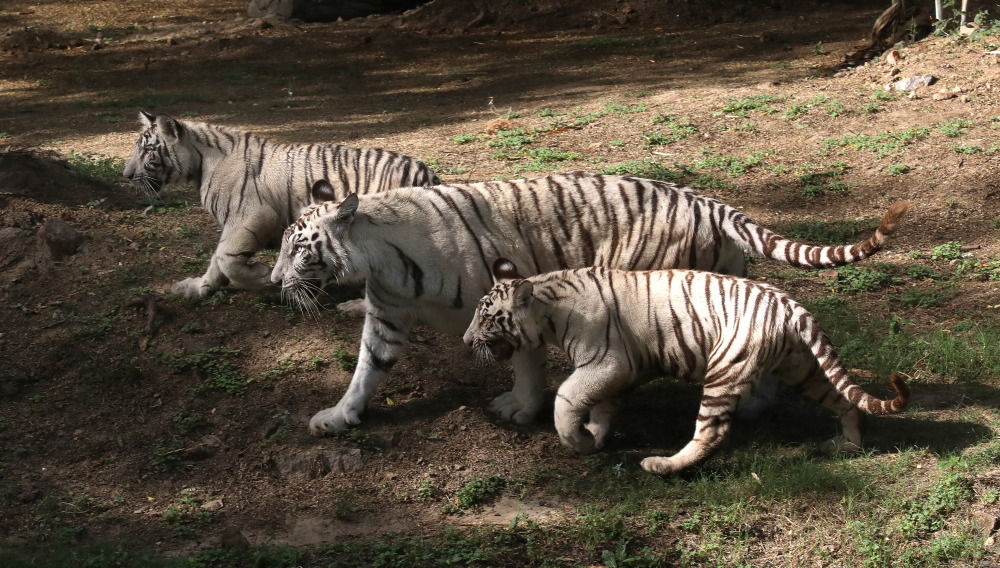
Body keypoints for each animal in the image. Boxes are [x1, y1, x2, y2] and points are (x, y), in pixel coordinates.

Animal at [123, 111, 440, 298]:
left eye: (147, 150)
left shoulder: (250, 216)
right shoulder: (232, 223)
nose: (125, 175)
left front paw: (262, 277)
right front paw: (197, 288)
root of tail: (425, 172)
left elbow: (227, 259)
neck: (200, 163)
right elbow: (217, 260)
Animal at [270, 170, 912, 434]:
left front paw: (521, 408)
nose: (275, 281)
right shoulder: (386, 317)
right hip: (723, 280)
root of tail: (713, 203)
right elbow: (366, 371)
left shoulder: (508, 301)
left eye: (300, 247)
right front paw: (340, 417)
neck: (380, 263)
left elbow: (524, 362)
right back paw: (755, 406)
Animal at [464, 260, 912, 474]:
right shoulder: (615, 370)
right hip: (803, 367)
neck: (549, 308)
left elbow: (566, 398)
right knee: (845, 401)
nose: (467, 341)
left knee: (711, 433)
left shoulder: (604, 361)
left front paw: (577, 441)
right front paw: (596, 436)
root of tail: (791, 305)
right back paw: (848, 444)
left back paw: (664, 466)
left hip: (725, 370)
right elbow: (602, 407)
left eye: (486, 317)